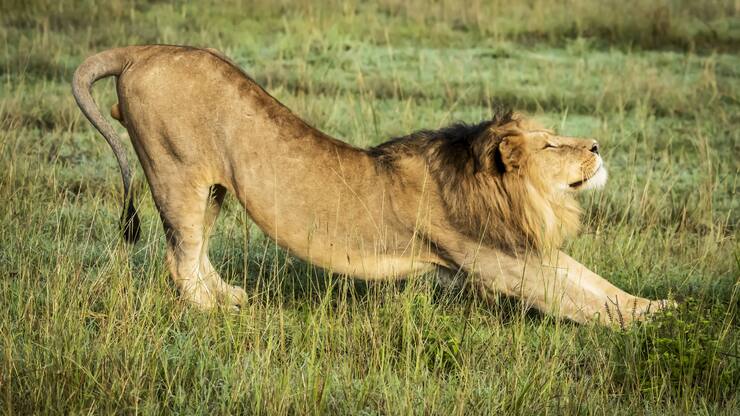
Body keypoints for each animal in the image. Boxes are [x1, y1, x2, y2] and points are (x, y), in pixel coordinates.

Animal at [72, 45, 670, 326]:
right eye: (549, 146)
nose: (596, 145)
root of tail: (139, 51)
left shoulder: (522, 250)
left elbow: (596, 282)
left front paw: (659, 306)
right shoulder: (500, 263)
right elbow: (581, 300)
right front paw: (642, 327)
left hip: (214, 187)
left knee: (194, 255)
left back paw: (231, 298)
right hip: (177, 171)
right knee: (180, 260)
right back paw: (215, 314)